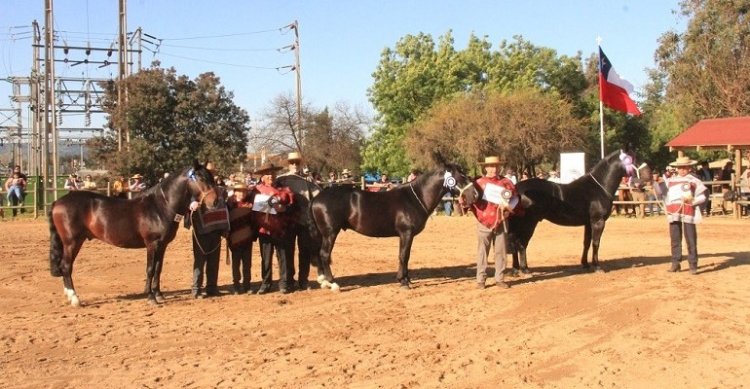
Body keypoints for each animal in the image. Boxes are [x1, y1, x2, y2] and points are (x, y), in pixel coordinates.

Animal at [48, 161, 219, 306]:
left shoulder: (162, 246)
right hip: (72, 242)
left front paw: (158, 295)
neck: (160, 207)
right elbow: (150, 269)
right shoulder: (152, 244)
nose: (215, 201)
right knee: (66, 266)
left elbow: (158, 269)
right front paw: (151, 298)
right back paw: (75, 298)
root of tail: (58, 202)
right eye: (201, 178)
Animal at [312, 163, 468, 288]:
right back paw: (332, 283)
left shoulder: (407, 235)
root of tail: (316, 198)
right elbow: (403, 256)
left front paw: (407, 279)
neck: (415, 198)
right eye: (461, 174)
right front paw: (403, 282)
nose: (471, 191)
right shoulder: (406, 233)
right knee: (324, 254)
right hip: (330, 233)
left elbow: (406, 256)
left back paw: (324, 281)